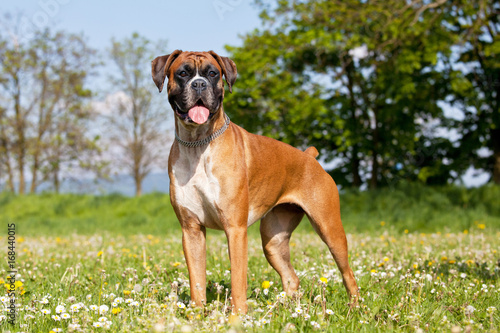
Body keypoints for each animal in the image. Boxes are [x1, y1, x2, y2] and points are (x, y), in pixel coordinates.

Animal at [150, 49, 358, 312]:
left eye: (212, 73)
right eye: (183, 73)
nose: (199, 84)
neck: (197, 144)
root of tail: (309, 157)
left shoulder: (235, 230)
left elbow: (238, 281)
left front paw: (237, 316)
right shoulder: (191, 230)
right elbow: (196, 281)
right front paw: (196, 315)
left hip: (330, 229)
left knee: (348, 274)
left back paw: (354, 309)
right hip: (273, 241)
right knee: (291, 277)